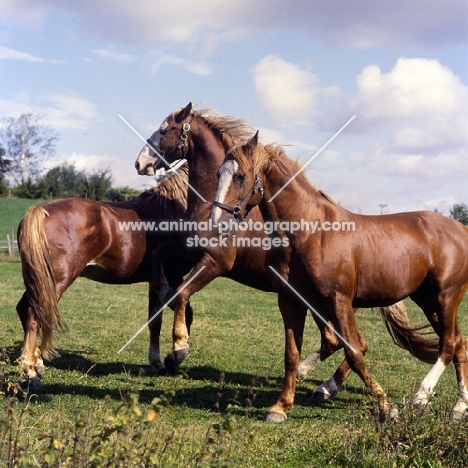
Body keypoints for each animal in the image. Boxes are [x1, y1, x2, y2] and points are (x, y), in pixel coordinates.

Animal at [15, 167, 193, 388]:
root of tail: (38, 210)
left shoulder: (155, 282)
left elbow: (155, 322)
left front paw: (157, 362)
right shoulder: (174, 276)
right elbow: (186, 312)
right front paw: (177, 355)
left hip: (38, 281)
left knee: (24, 309)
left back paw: (37, 364)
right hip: (55, 281)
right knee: (33, 315)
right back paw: (31, 373)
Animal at [134, 101, 438, 406]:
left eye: (164, 131)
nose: (140, 163)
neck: (212, 203)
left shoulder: (215, 262)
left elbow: (182, 292)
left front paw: (180, 348)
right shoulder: (190, 248)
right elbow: (160, 255)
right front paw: (164, 293)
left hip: (334, 304)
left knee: (351, 343)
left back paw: (322, 384)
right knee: (343, 343)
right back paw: (320, 384)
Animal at [211, 131, 468, 420]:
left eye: (240, 176)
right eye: (218, 173)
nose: (217, 223)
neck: (310, 233)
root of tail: (461, 229)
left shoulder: (339, 301)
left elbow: (354, 352)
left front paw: (387, 407)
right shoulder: (291, 301)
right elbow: (292, 355)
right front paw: (280, 407)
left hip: (446, 297)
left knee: (448, 344)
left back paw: (420, 397)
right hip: (428, 301)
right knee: (459, 343)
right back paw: (459, 406)